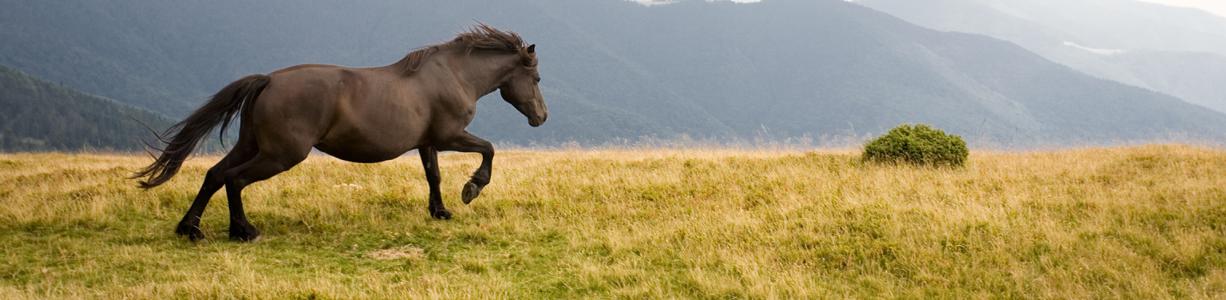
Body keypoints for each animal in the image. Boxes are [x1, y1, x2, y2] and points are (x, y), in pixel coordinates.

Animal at [133, 24, 546, 242]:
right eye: (538, 78)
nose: (541, 117)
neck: (453, 75)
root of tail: (268, 80)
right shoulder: (450, 136)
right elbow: (488, 150)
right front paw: (471, 189)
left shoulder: (427, 142)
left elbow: (433, 176)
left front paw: (440, 211)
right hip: (281, 154)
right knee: (234, 179)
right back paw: (243, 230)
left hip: (252, 144)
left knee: (214, 174)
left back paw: (190, 229)